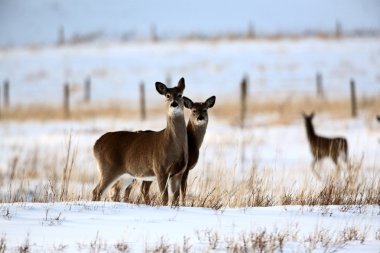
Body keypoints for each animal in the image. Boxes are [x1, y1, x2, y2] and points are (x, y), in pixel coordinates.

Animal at [92, 77, 187, 206]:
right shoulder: (160, 169)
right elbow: (164, 198)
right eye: (167, 95)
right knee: (97, 191)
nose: (174, 103)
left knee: (114, 190)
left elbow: (175, 198)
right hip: (108, 168)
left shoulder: (178, 172)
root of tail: (96, 144)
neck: (174, 146)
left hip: (126, 175)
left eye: (180, 95)